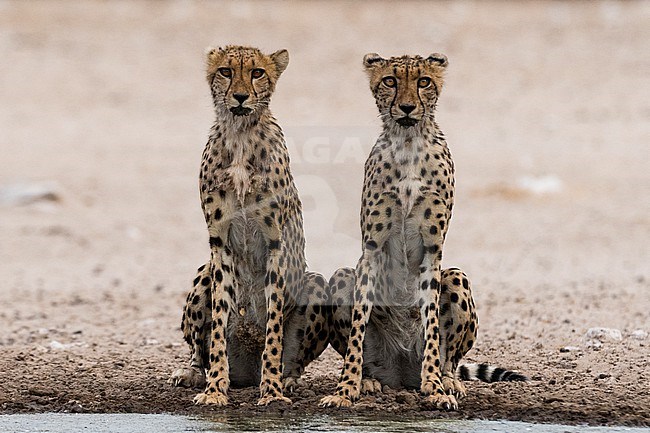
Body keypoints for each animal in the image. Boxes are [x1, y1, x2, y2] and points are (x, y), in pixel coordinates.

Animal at [167, 46, 330, 404]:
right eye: (226, 71)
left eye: (257, 72)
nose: (240, 96)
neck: (240, 135)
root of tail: (246, 373)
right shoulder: (220, 245)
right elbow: (217, 326)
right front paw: (215, 389)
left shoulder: (275, 244)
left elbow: (273, 329)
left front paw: (271, 392)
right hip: (203, 272)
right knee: (198, 349)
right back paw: (194, 373)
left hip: (315, 282)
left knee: (293, 359)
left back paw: (286, 380)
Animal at [318, 53, 528, 408]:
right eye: (390, 80)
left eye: (423, 81)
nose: (406, 107)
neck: (408, 143)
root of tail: (402, 373)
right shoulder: (370, 251)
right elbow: (358, 327)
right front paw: (345, 389)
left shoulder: (433, 252)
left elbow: (430, 322)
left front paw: (434, 388)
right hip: (343, 276)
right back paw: (369, 380)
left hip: (457, 277)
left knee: (451, 360)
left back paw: (448, 381)